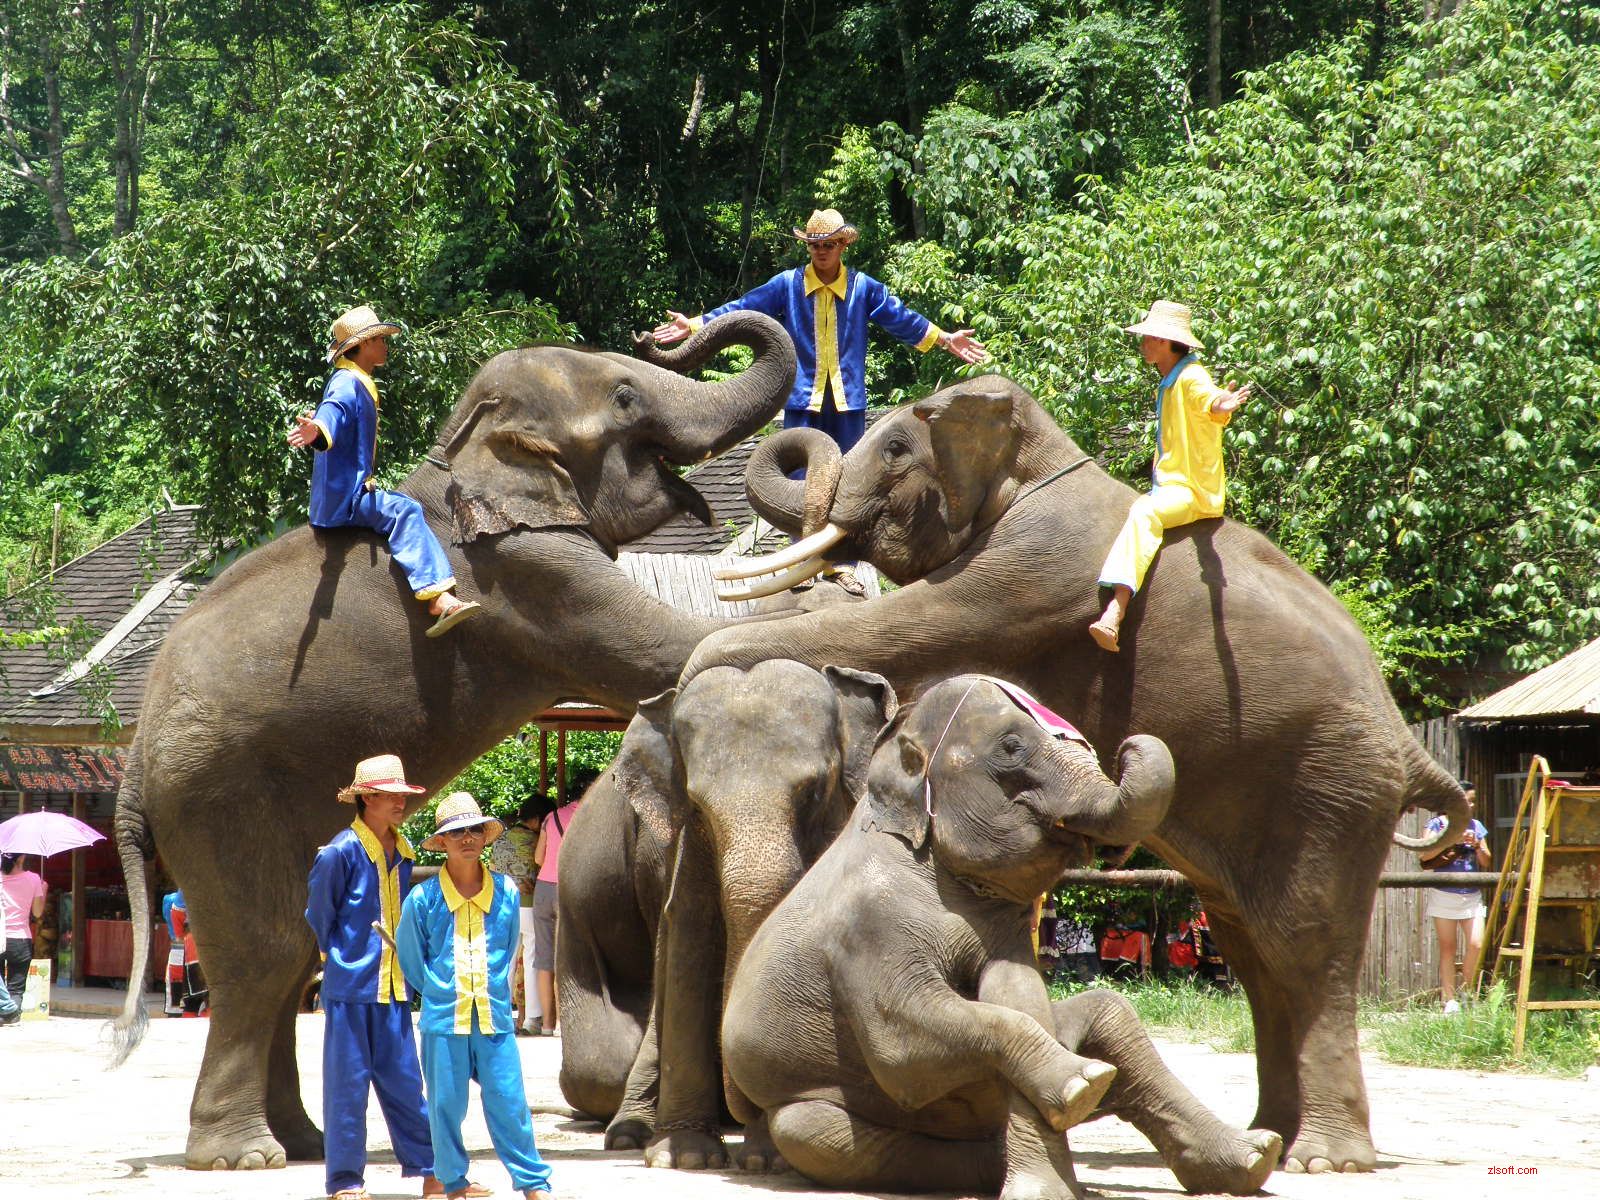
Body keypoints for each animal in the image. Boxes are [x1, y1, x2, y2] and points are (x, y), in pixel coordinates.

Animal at [726, 678, 1286, 1200]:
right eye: (1012, 747)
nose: (1126, 744)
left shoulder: (1004, 927)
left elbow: (1018, 994)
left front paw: (1069, 1129)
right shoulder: (866, 927)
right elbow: (905, 1044)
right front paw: (1082, 1087)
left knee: (1109, 1012)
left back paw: (1255, 1156)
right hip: (809, 1118)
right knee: (813, 1130)